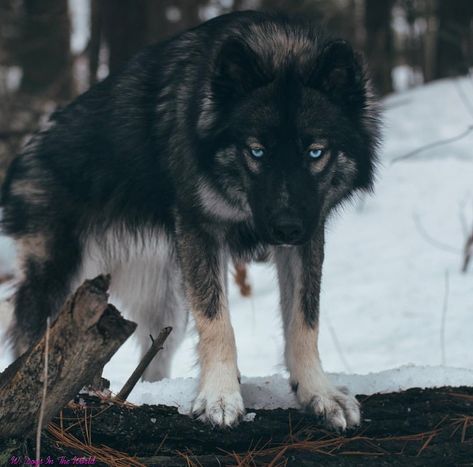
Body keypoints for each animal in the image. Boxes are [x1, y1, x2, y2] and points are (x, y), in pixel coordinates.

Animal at [1, 11, 380, 432]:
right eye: (256, 151)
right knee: (31, 342)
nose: (286, 228)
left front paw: (319, 394)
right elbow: (219, 324)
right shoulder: (203, 231)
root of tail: (25, 153)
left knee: (151, 361)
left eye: (315, 152)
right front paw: (219, 397)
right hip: (60, 281)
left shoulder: (309, 236)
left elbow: (304, 322)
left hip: (167, 307)